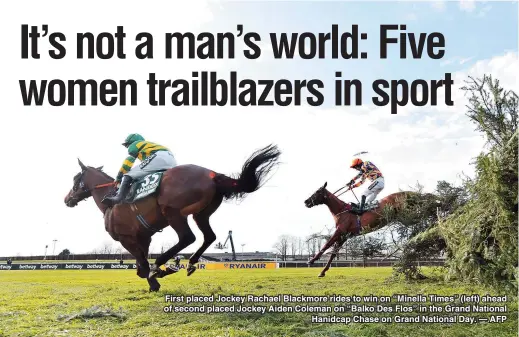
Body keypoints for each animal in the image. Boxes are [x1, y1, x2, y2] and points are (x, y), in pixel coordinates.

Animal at [65, 143, 284, 290]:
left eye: (75, 179)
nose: (67, 199)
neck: (110, 202)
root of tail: (212, 174)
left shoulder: (126, 238)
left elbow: (142, 263)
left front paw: (155, 277)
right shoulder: (144, 237)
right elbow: (141, 263)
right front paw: (154, 276)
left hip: (172, 212)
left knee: (188, 237)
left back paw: (164, 264)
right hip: (201, 214)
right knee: (209, 236)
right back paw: (190, 263)